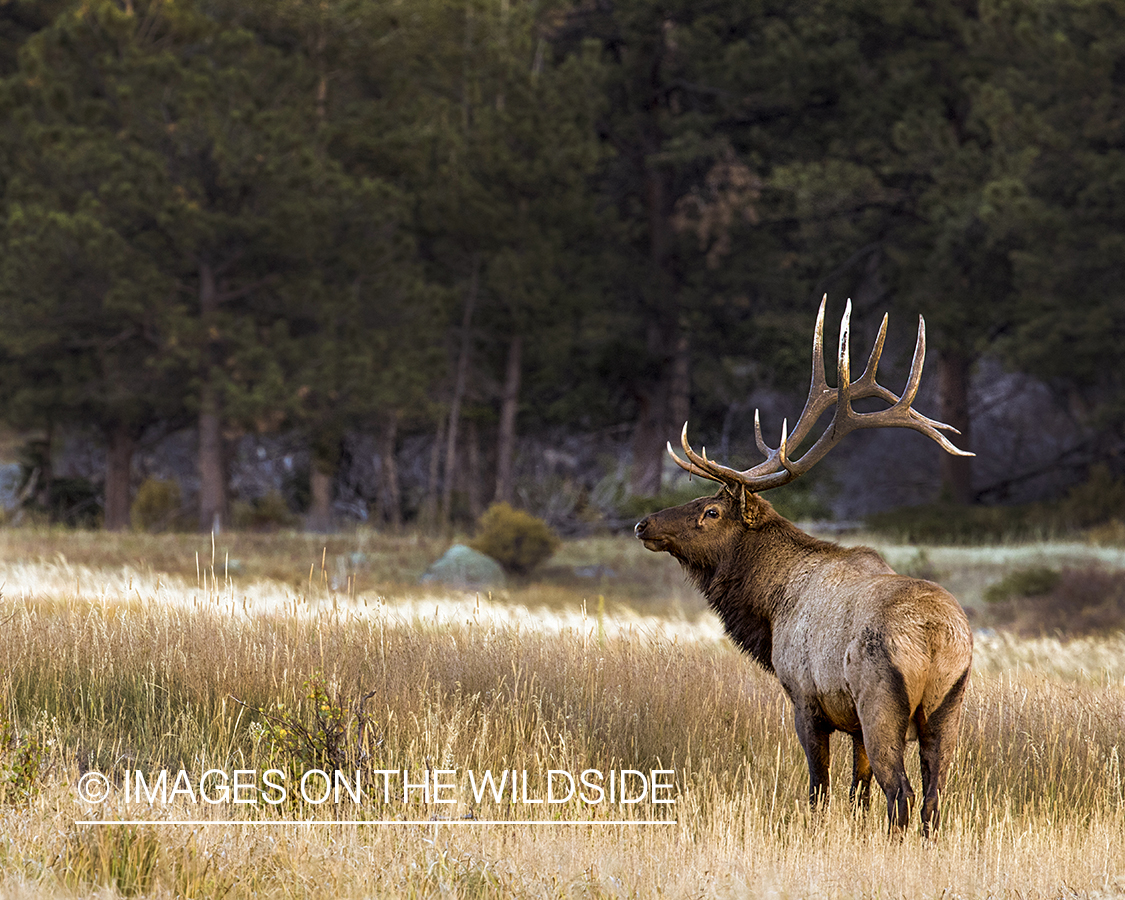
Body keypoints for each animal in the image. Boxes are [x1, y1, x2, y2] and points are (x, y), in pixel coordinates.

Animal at [639, 297, 972, 837]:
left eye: (710, 511)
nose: (643, 523)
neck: (769, 611)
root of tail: (936, 637)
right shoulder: (851, 721)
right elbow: (857, 793)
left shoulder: (805, 698)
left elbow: (819, 788)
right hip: (949, 707)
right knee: (933, 797)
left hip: (881, 699)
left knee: (900, 793)